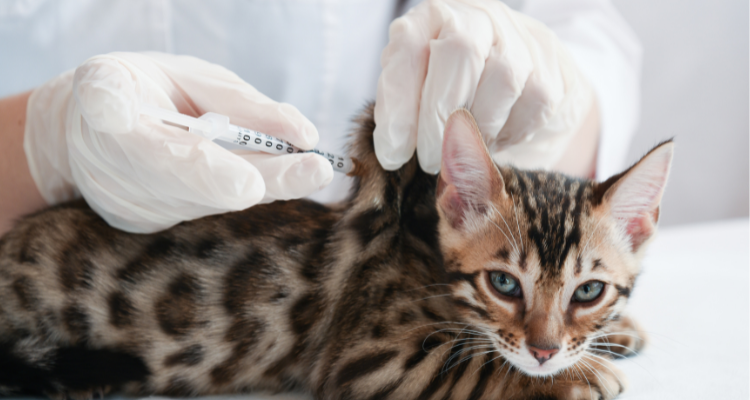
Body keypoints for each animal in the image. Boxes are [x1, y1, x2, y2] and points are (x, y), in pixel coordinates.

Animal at [0, 106, 672, 400]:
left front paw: (616, 333)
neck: (426, 258)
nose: (544, 350)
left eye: (589, 291)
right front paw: (580, 376)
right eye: (505, 284)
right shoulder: (368, 357)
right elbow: (472, 362)